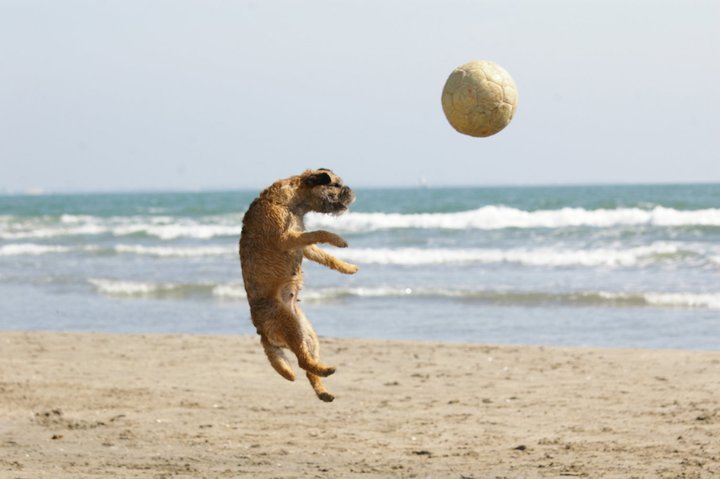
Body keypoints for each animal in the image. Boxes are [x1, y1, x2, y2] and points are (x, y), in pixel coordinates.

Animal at [239, 169, 358, 402]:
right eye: (336, 185)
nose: (352, 192)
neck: (291, 204)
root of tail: (261, 332)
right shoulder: (287, 238)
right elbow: (318, 233)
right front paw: (337, 239)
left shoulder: (302, 244)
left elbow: (325, 255)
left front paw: (347, 267)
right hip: (289, 324)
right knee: (303, 362)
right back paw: (325, 371)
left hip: (309, 336)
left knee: (307, 367)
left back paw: (323, 390)